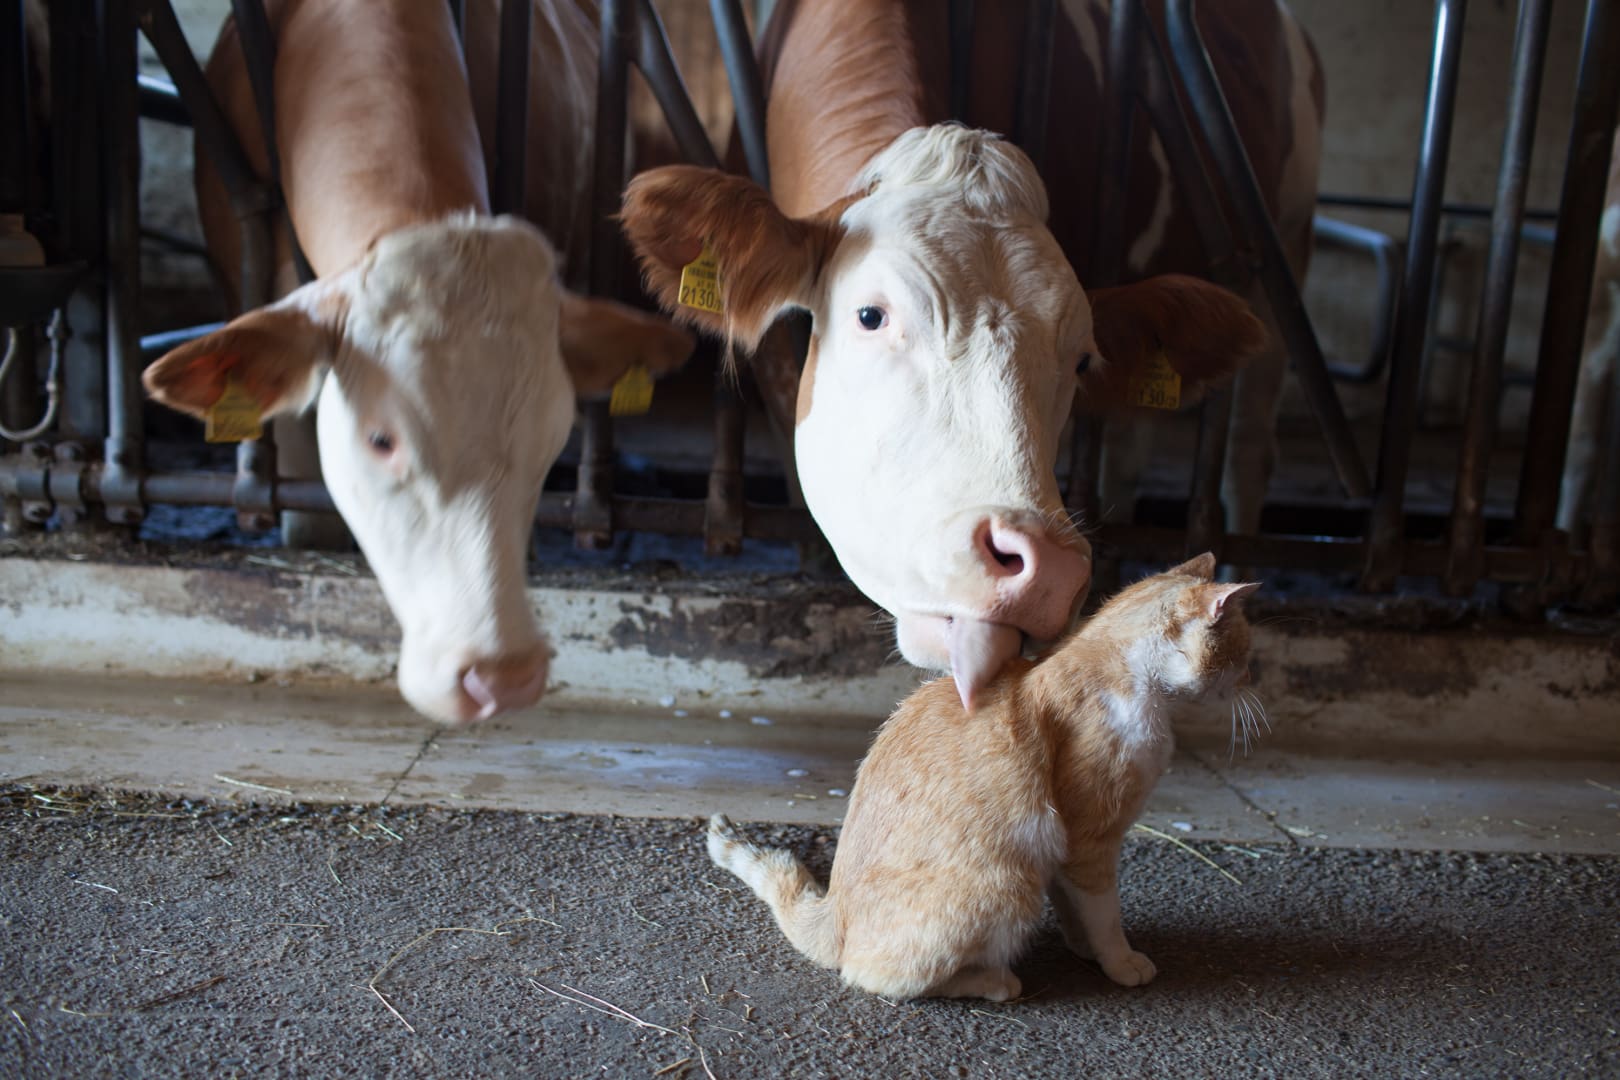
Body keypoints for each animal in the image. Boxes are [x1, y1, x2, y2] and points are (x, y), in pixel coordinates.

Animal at [706, 552, 1260, 1002]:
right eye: (1244, 652)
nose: (1255, 679)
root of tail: (834, 911)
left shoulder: (1064, 854)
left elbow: (1075, 907)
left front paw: (1082, 948)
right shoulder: (1090, 840)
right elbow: (1105, 914)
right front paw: (1121, 962)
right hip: (1009, 885)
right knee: (873, 976)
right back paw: (994, 981)